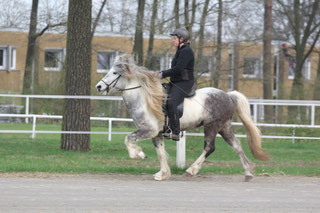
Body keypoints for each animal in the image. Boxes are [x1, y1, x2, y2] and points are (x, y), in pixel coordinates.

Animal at [95, 54, 270, 181]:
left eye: (115, 73)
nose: (99, 86)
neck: (144, 98)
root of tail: (228, 96)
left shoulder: (148, 130)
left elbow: (128, 139)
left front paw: (138, 154)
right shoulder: (157, 134)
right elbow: (160, 152)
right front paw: (163, 174)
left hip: (212, 126)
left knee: (209, 147)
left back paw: (191, 170)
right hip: (224, 127)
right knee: (237, 145)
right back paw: (248, 173)